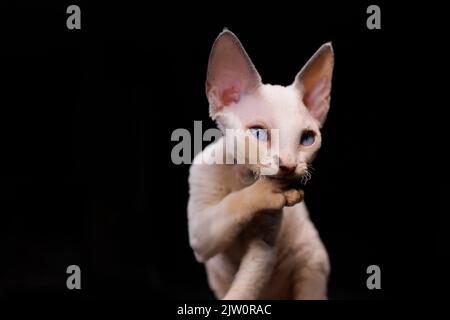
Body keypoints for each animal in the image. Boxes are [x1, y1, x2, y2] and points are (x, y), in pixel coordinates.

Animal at [187, 30, 334, 300]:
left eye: (307, 139)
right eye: (258, 133)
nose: (288, 165)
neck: (245, 178)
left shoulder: (264, 247)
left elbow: (247, 285)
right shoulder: (200, 234)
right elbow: (231, 205)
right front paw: (267, 191)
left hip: (312, 261)